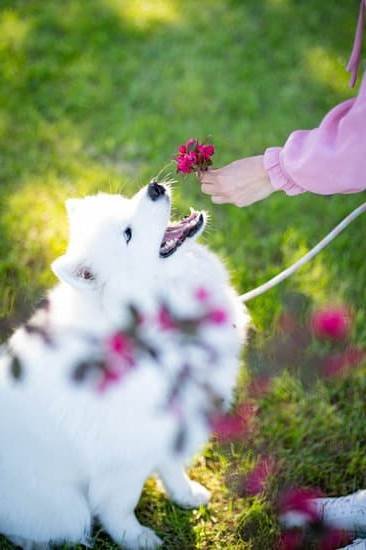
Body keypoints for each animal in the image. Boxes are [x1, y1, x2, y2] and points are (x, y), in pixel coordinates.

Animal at [0, 183, 249, 548]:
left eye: (126, 202)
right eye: (128, 234)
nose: (155, 187)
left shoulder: (171, 424)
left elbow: (172, 467)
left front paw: (186, 495)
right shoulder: (123, 458)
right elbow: (120, 505)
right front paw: (136, 538)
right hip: (65, 506)